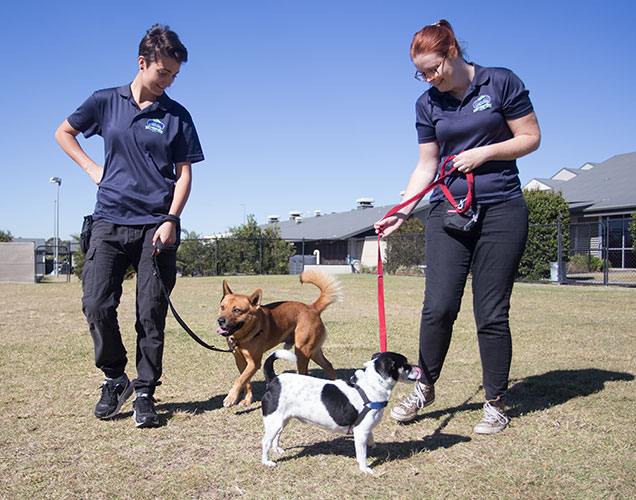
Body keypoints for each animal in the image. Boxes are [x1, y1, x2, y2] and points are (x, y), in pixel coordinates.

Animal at [216, 270, 340, 406]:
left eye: (237, 310)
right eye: (222, 307)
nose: (220, 321)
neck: (242, 337)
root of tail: (312, 307)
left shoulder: (254, 363)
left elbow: (240, 380)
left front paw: (230, 398)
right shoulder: (240, 361)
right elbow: (245, 381)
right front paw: (247, 399)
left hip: (302, 351)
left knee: (306, 373)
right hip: (314, 352)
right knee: (329, 365)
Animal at [260, 348, 420, 472]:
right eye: (406, 364)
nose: (418, 370)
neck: (373, 385)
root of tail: (274, 380)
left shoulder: (365, 428)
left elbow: (371, 437)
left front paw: (372, 444)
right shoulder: (360, 431)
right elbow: (362, 454)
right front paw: (364, 469)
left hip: (282, 420)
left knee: (277, 436)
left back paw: (277, 449)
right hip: (274, 422)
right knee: (266, 441)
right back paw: (266, 461)